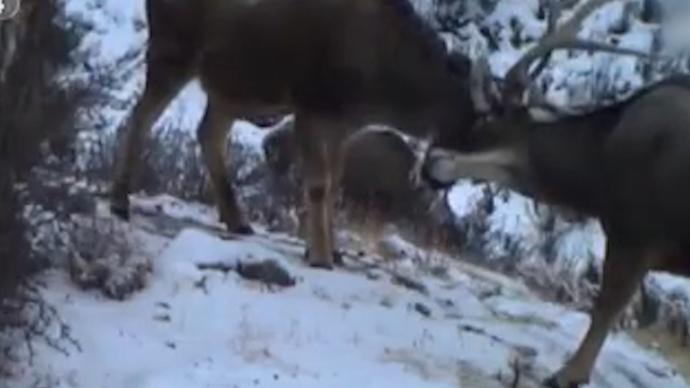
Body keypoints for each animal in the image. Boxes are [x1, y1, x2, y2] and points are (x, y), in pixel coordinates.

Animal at [110, 0, 482, 270]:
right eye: (475, 115)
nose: (443, 178)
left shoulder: (343, 127)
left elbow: (333, 186)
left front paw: (332, 251)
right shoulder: (312, 109)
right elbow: (318, 185)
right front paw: (321, 255)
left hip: (228, 85)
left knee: (207, 134)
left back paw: (237, 220)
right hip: (172, 53)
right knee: (141, 119)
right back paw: (119, 203)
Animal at [422, 0, 684, 384]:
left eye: (483, 116)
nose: (428, 161)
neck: (596, 172)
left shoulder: (635, 232)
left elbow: (606, 306)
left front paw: (568, 374)